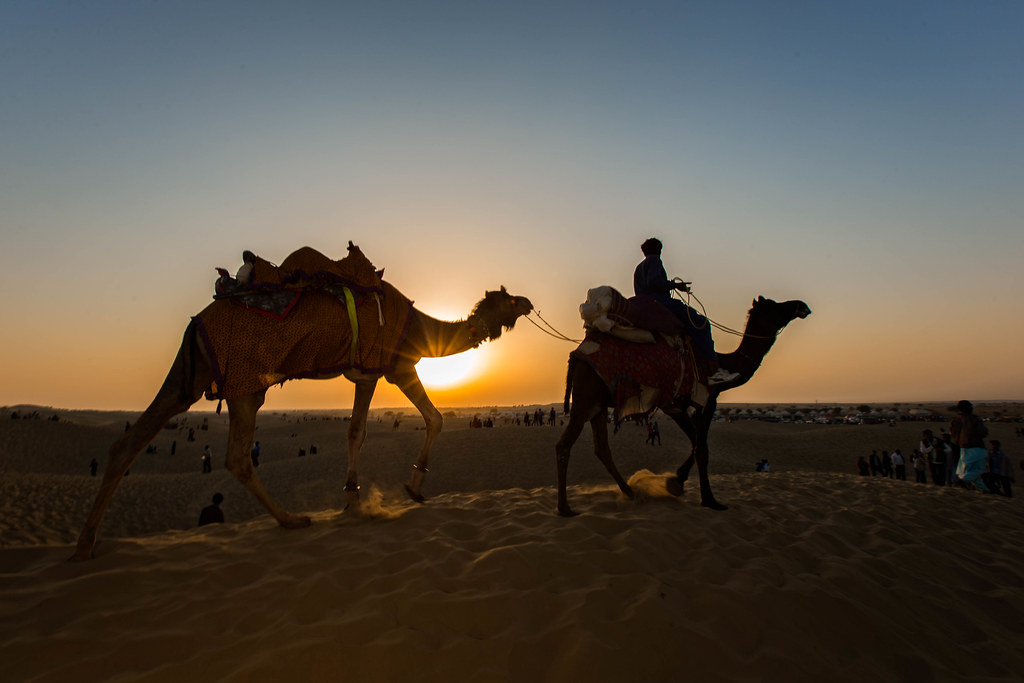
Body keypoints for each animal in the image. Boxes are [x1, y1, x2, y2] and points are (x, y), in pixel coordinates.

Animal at [70, 245, 536, 561]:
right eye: (512, 299)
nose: (531, 302)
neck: (420, 327)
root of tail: (198, 320)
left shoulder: (365, 373)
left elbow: (356, 430)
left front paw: (353, 498)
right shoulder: (394, 366)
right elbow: (428, 420)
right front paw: (410, 488)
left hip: (198, 372)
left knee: (134, 440)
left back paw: (86, 544)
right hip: (245, 382)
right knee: (235, 455)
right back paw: (291, 520)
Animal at [557, 296, 811, 516]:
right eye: (774, 306)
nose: (801, 305)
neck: (721, 362)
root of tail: (576, 354)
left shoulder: (678, 404)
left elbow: (695, 441)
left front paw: (677, 480)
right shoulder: (703, 399)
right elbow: (702, 448)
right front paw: (709, 499)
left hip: (598, 405)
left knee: (602, 448)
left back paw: (630, 492)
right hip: (586, 399)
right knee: (564, 445)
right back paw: (565, 508)